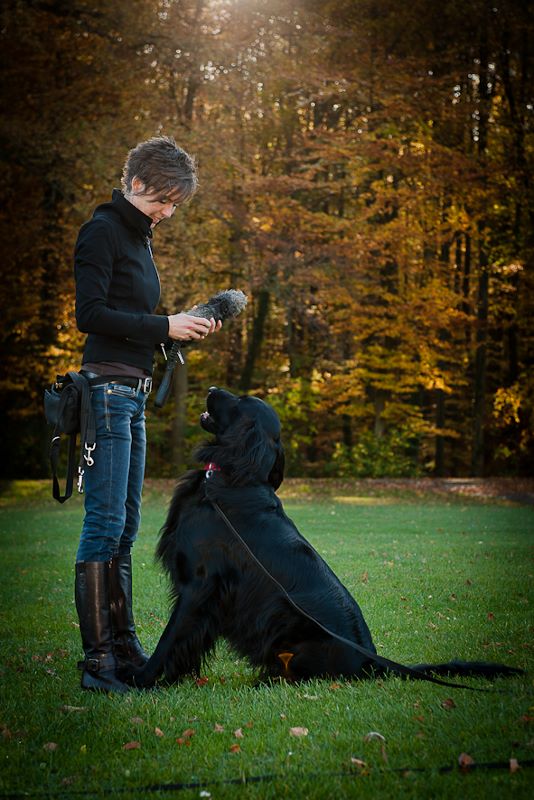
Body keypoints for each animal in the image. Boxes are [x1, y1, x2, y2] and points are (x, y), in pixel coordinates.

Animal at [132, 388, 524, 688]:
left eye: (241, 400)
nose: (213, 388)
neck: (229, 481)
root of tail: (374, 662)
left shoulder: (199, 587)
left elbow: (171, 639)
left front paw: (139, 681)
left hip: (301, 645)